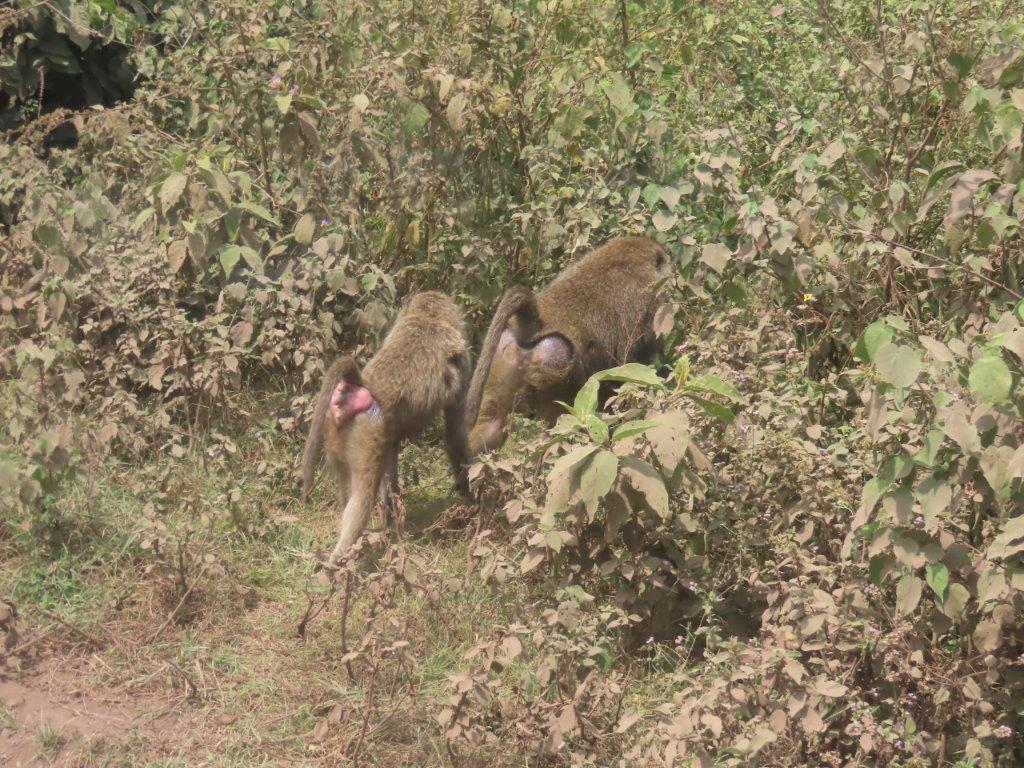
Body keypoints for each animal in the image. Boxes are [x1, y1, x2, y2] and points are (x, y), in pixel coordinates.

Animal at [301, 291, 472, 566]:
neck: (428, 318)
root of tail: (362, 385)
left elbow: (392, 459)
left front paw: (389, 526)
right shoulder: (462, 361)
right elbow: (454, 434)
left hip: (335, 431)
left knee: (348, 488)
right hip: (365, 434)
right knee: (361, 497)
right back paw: (338, 560)